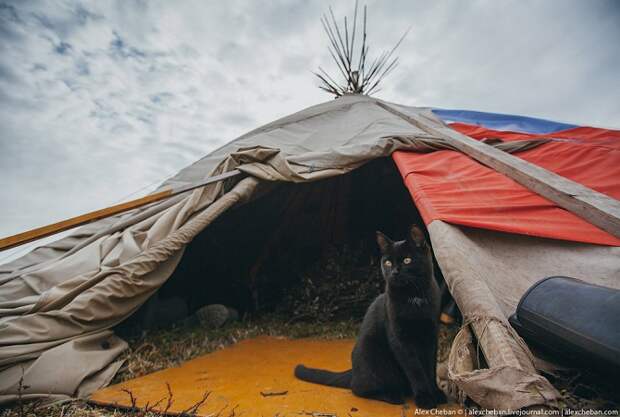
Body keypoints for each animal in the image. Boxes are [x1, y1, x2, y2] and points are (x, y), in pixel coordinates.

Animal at [296, 226, 446, 408]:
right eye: (388, 263)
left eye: (407, 260)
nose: (394, 272)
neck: (414, 298)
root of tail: (353, 371)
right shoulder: (400, 340)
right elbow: (415, 369)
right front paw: (425, 397)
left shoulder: (431, 335)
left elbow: (430, 368)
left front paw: (436, 393)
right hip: (373, 356)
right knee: (359, 388)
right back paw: (393, 395)